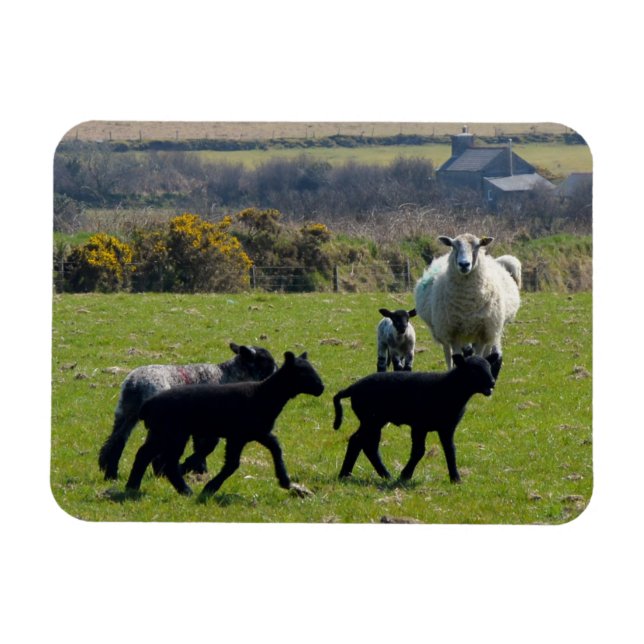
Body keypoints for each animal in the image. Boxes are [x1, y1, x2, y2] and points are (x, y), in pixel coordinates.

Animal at [98, 342, 277, 480]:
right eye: (267, 362)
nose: (278, 375)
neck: (228, 376)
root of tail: (136, 384)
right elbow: (207, 446)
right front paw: (190, 467)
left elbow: (200, 446)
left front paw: (200, 471)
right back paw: (160, 472)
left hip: (125, 413)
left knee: (115, 443)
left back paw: (111, 474)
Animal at [125, 351, 325, 498]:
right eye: (302, 372)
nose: (321, 388)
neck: (263, 395)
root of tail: (148, 405)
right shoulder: (238, 436)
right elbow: (232, 464)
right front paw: (210, 488)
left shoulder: (256, 433)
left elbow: (275, 448)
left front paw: (284, 480)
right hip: (172, 433)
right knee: (166, 462)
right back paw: (184, 490)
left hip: (162, 433)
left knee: (146, 455)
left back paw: (133, 487)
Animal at [333, 353, 499, 483]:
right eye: (473, 370)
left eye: (489, 367)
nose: (492, 383)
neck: (449, 388)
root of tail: (353, 388)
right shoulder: (419, 426)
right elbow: (419, 451)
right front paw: (405, 475)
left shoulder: (447, 427)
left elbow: (450, 450)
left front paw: (456, 478)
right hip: (371, 419)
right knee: (360, 442)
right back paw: (352, 474)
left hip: (374, 421)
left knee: (364, 444)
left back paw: (371, 475)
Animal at [414, 233, 520, 369]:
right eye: (453, 245)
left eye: (478, 245)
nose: (464, 264)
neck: (467, 304)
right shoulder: (453, 333)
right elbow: (456, 358)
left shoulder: (483, 333)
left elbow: (480, 356)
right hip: (442, 329)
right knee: (448, 355)